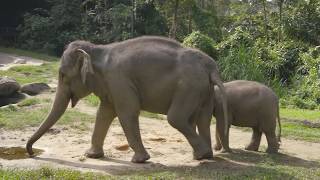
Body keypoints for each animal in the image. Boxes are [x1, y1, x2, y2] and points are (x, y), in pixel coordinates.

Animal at [26, 35, 229, 162]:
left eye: (62, 75)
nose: (31, 153)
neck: (97, 49)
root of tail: (211, 66)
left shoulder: (119, 80)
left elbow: (127, 112)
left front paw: (140, 160)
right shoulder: (110, 85)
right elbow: (104, 113)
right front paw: (92, 155)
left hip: (189, 86)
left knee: (176, 118)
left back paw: (202, 155)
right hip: (203, 90)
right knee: (201, 119)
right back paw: (204, 156)